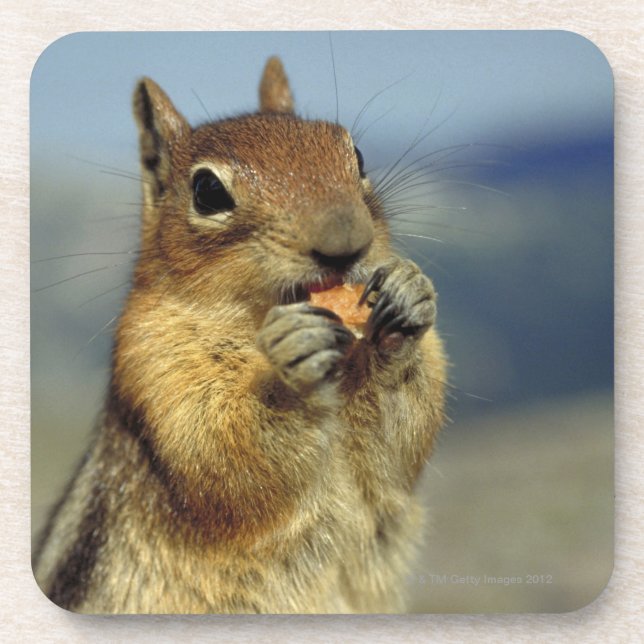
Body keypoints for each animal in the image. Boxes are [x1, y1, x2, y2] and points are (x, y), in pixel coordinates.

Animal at [33, 57, 447, 614]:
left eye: (355, 154)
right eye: (207, 191)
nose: (346, 242)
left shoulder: (385, 475)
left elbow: (398, 450)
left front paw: (406, 299)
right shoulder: (156, 372)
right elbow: (226, 455)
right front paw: (289, 371)